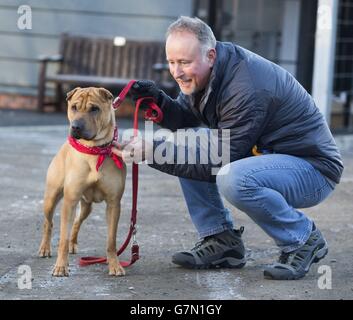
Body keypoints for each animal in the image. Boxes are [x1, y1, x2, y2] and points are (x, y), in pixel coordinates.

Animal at [38, 86, 126, 276]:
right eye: (74, 107)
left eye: (94, 109)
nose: (76, 127)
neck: (94, 150)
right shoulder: (69, 201)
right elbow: (62, 239)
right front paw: (61, 266)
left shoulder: (113, 203)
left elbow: (111, 240)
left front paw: (114, 265)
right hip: (51, 199)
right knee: (49, 223)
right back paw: (45, 248)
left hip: (86, 206)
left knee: (77, 222)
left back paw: (73, 244)